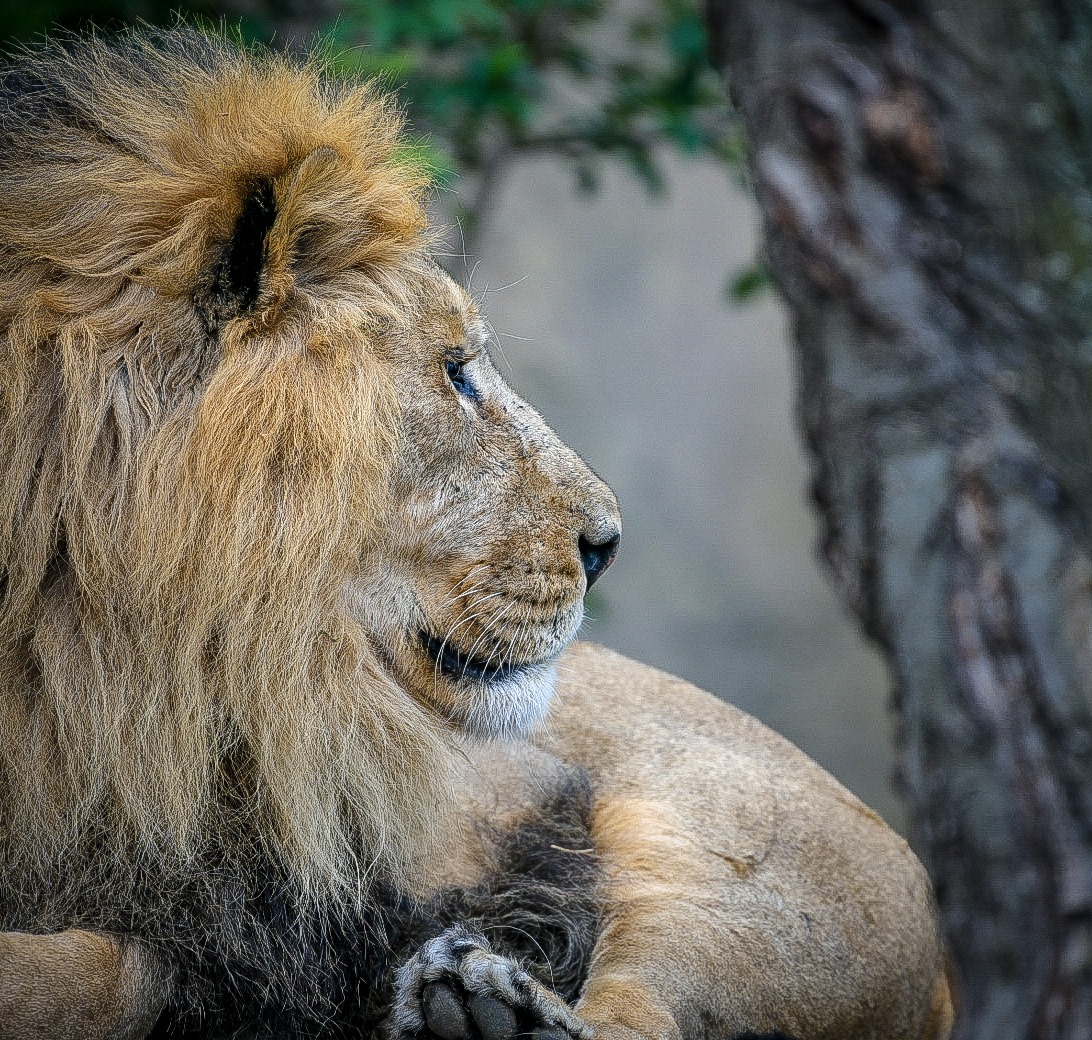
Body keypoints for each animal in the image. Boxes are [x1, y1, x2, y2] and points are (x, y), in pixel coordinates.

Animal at [0, 27, 952, 1040]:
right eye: (456, 373)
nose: (609, 545)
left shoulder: (266, 917)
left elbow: (85, 970)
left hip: (740, 858)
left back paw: (494, 1007)